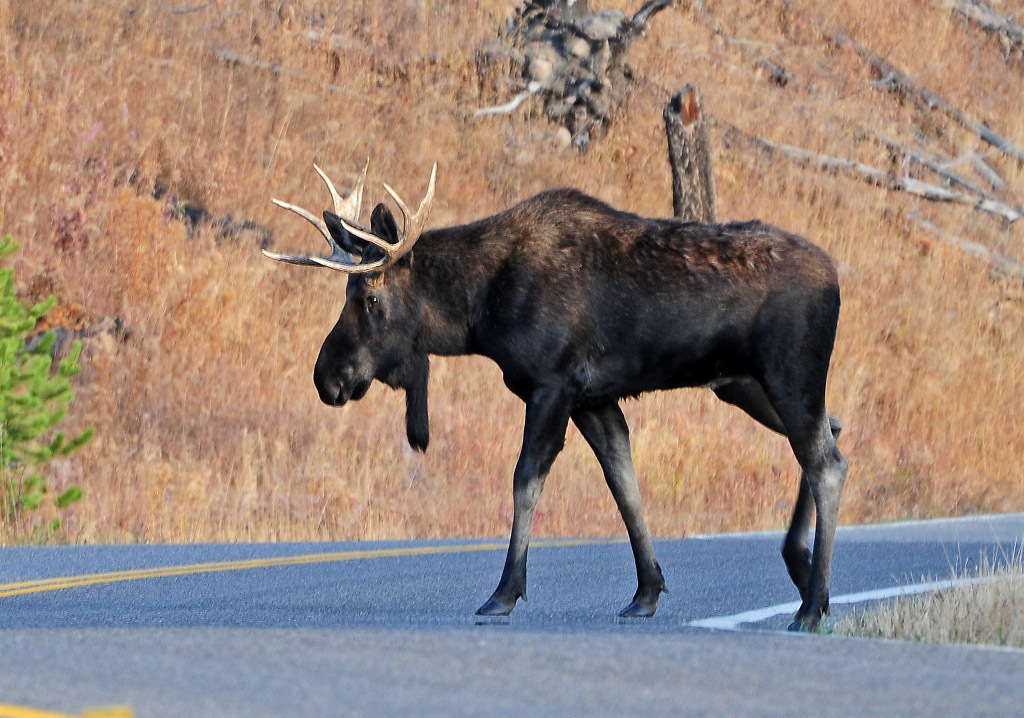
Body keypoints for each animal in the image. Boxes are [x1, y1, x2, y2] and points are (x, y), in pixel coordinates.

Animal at [265, 160, 848, 631]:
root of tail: (836, 276)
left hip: (790, 372)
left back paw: (813, 603)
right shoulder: (595, 399)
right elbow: (624, 486)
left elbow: (525, 480)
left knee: (827, 462)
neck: (478, 313)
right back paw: (799, 568)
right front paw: (646, 593)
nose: (327, 377)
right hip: (745, 385)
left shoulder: (553, 384)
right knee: (835, 432)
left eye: (370, 297)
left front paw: (504, 592)